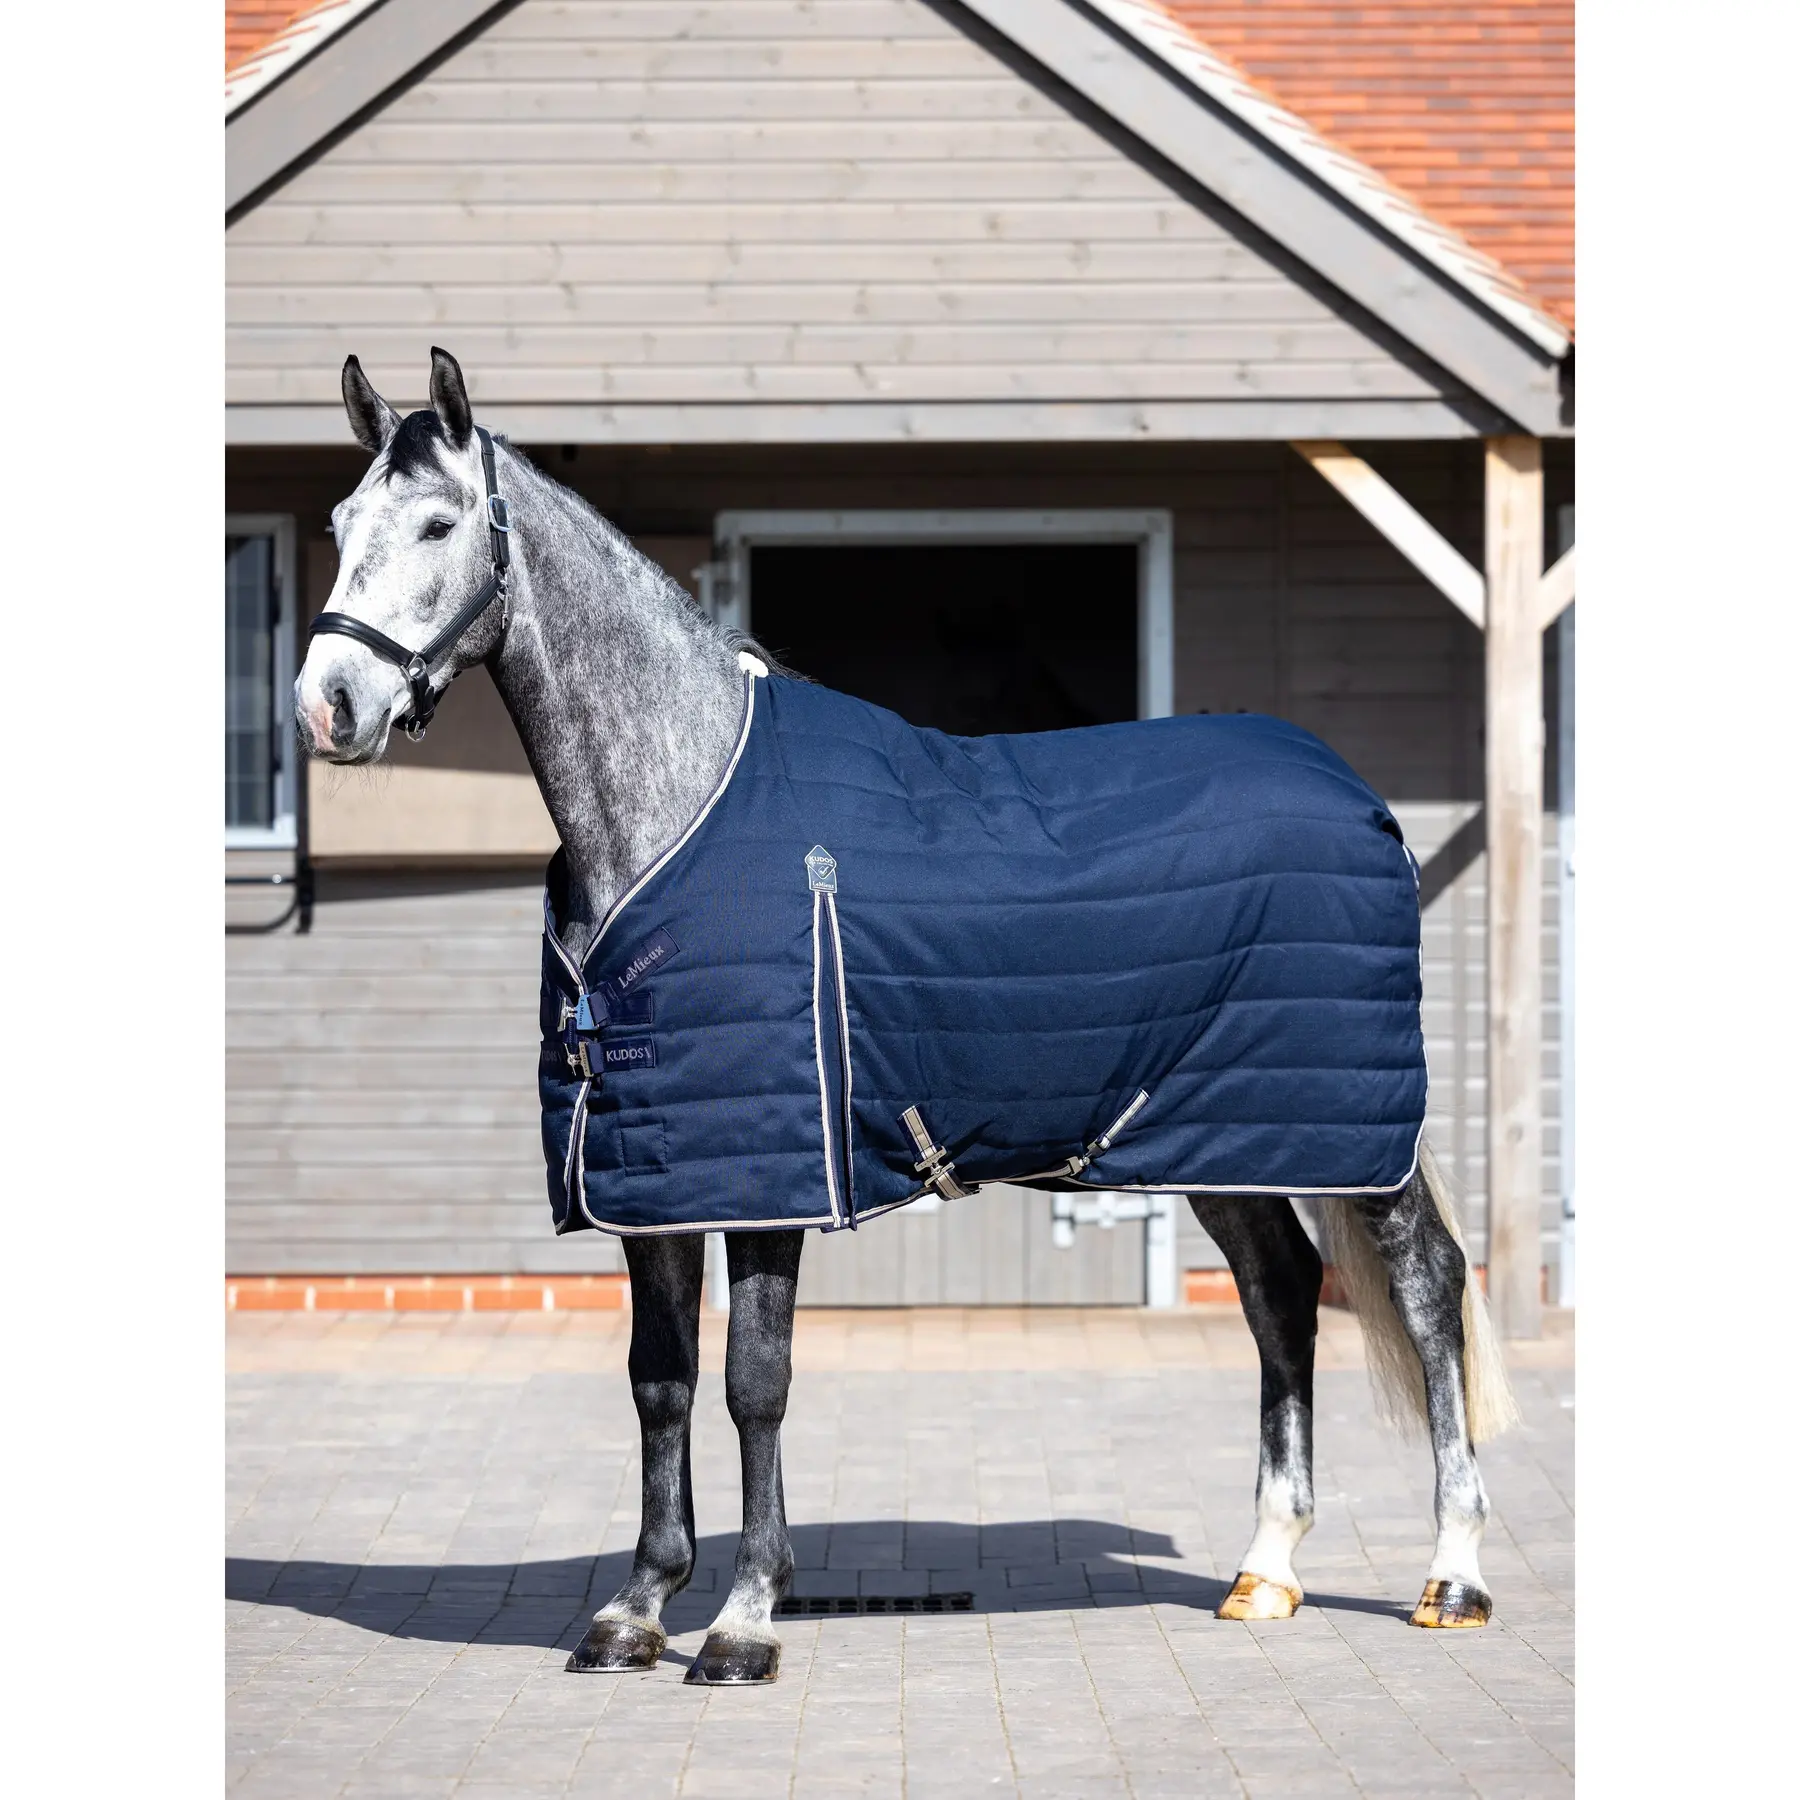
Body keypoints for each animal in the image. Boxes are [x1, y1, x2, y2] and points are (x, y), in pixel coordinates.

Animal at [293, 348, 1518, 1686]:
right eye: (340, 525)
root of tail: (1356, 795)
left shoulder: (770, 1177)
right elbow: (657, 1380)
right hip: (1220, 1135)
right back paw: (1267, 1572)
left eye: (438, 524)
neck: (680, 806)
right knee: (1282, 1294)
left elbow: (754, 1382)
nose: (328, 705)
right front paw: (635, 1610)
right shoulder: (648, 1174)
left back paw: (1454, 1576)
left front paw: (743, 1621)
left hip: (1346, 1133)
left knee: (1427, 1286)